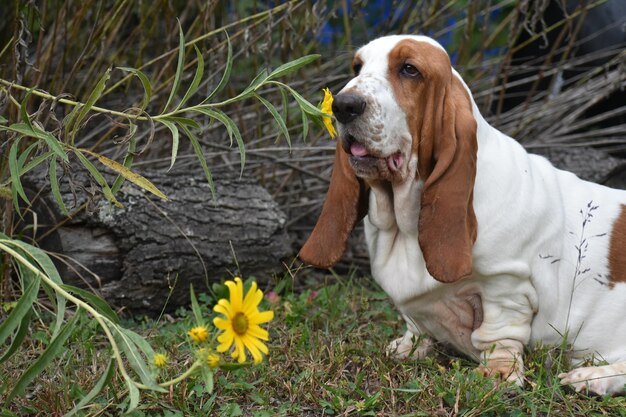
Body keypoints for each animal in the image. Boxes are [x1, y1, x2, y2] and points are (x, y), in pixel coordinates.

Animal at [298, 35, 624, 394]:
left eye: (409, 69)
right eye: (358, 67)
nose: (343, 105)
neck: (404, 223)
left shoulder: (507, 285)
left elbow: (498, 334)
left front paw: (498, 374)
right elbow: (416, 325)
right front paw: (408, 347)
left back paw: (589, 377)